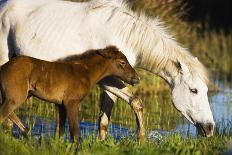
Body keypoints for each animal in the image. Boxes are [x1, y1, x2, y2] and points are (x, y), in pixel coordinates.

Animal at [0, 45, 139, 140]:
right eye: (122, 62)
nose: (136, 78)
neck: (87, 73)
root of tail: (2, 68)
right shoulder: (71, 102)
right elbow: (75, 131)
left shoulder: (60, 104)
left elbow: (59, 131)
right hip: (16, 96)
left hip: (19, 95)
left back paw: (29, 136)